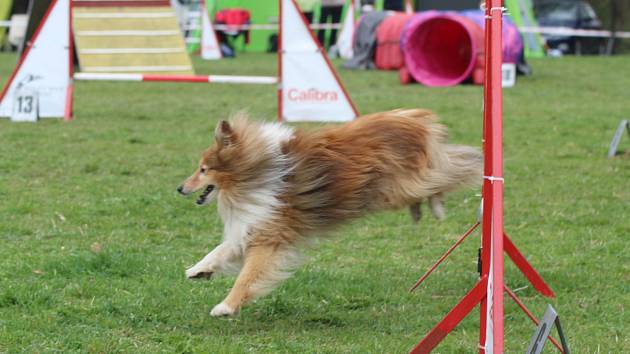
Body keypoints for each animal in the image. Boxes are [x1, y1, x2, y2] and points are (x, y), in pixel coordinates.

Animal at [178, 109, 484, 316]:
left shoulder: (271, 235)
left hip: (401, 186)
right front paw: (198, 270)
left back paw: (442, 202)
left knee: (454, 169)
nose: (180, 188)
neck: (255, 171)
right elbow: (222, 250)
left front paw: (225, 307)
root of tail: (413, 118)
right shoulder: (254, 225)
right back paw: (422, 210)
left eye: (203, 169)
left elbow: (247, 276)